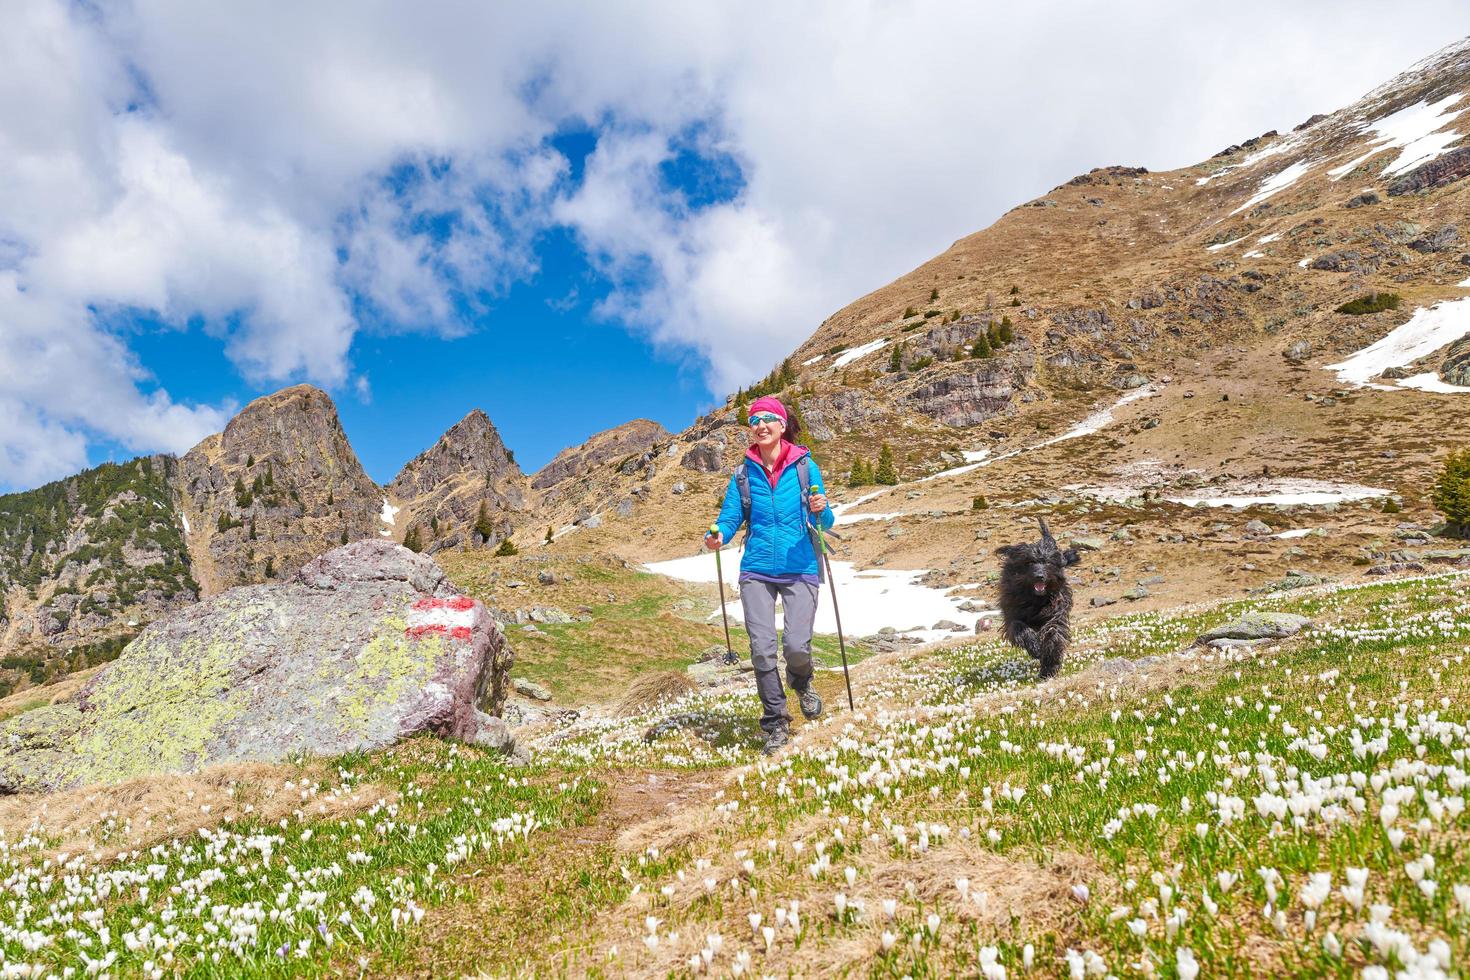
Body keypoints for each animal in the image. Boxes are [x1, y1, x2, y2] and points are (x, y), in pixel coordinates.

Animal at [999, 517, 1081, 678]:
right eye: (1030, 562)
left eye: (1048, 562)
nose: (1039, 576)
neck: (1036, 600)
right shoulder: (1011, 613)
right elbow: (1019, 627)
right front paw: (1035, 647)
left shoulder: (1056, 613)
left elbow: (1053, 632)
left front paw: (1049, 665)